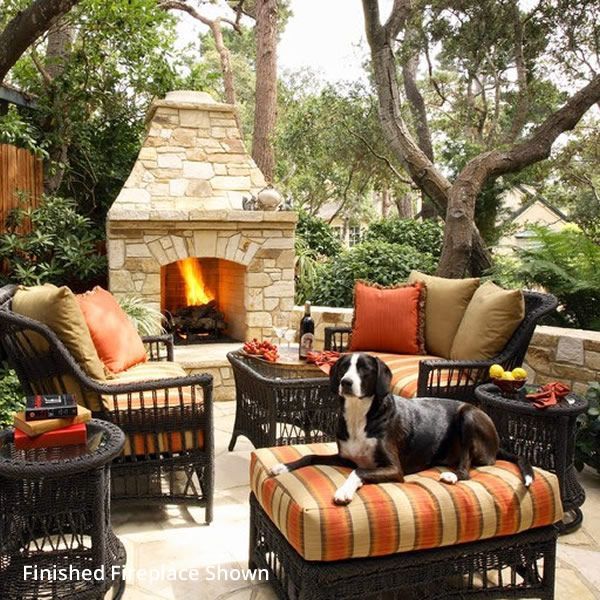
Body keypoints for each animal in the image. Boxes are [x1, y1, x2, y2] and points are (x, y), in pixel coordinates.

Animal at [270, 354, 532, 504]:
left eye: (364, 369)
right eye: (344, 367)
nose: (346, 382)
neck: (359, 415)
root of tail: (497, 444)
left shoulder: (393, 469)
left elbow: (359, 471)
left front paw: (344, 491)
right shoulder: (345, 457)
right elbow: (311, 455)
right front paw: (283, 466)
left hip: (468, 414)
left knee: (467, 467)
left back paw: (453, 475)